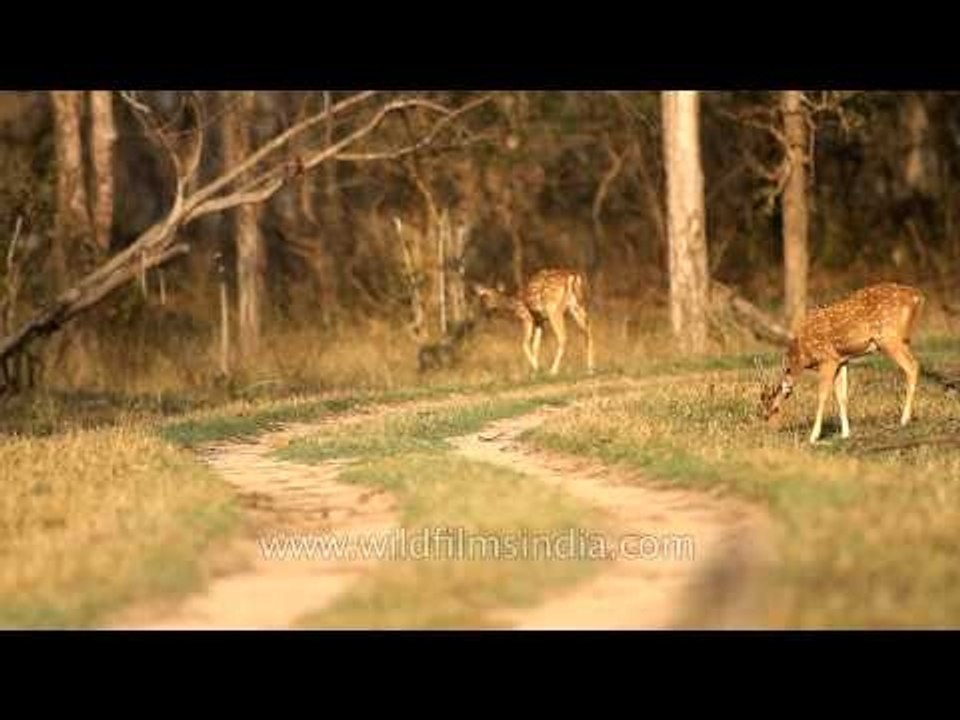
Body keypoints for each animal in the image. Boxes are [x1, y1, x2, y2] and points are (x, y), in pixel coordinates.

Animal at [759, 282, 925, 444]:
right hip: (902, 340)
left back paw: (904, 420)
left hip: (888, 338)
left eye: (774, 409)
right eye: (763, 413)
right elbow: (842, 396)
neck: (803, 355)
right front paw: (845, 433)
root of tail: (917, 297)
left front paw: (814, 436)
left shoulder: (828, 359)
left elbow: (822, 395)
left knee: (912, 366)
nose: (770, 432)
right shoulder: (842, 361)